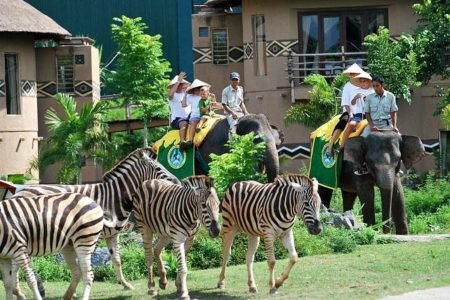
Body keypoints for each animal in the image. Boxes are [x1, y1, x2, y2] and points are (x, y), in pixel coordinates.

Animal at [10, 148, 179, 290]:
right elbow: (87, 261)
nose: (176, 181)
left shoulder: (113, 234)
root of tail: (18, 192)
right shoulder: (94, 235)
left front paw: (125, 284)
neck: (113, 197)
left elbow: (117, 259)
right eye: (158, 168)